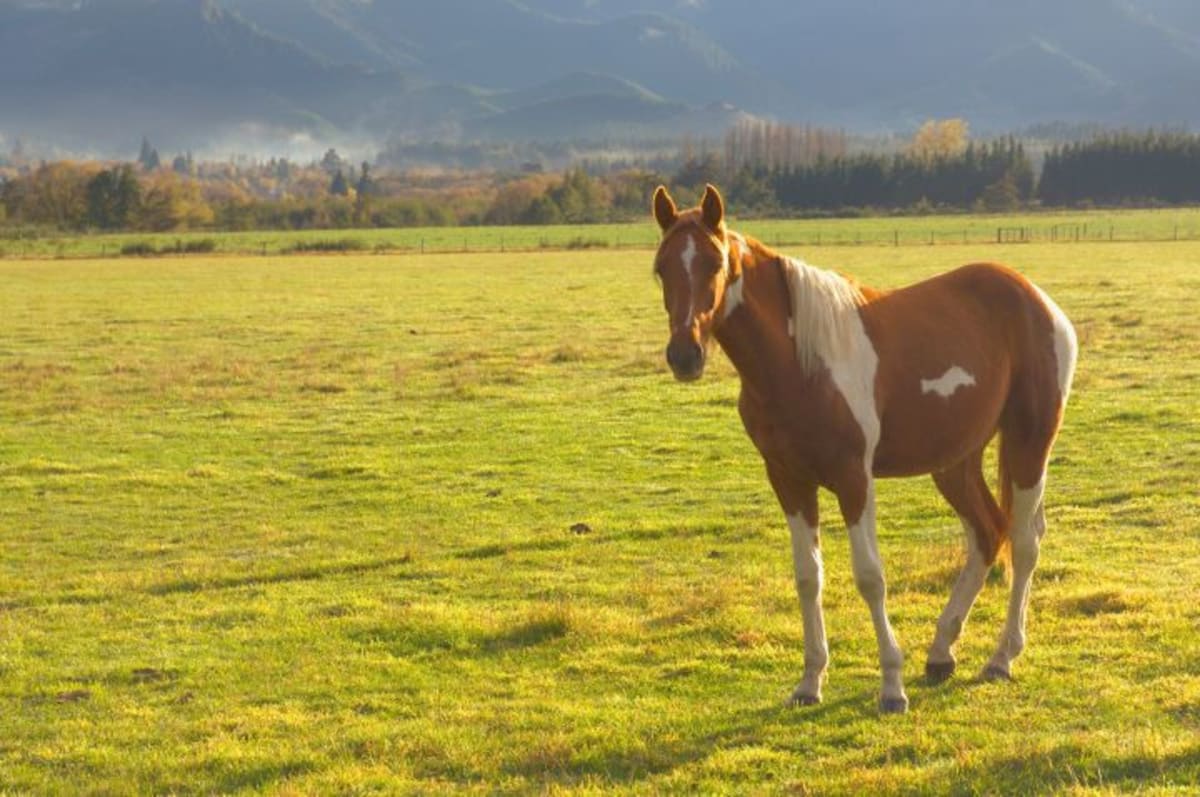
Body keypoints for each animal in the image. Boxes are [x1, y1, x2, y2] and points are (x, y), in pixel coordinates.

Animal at [650, 184, 1077, 713]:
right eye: (661, 267)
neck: (800, 362)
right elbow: (807, 577)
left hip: (1029, 443)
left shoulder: (854, 479)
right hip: (956, 461)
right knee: (986, 532)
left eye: (714, 263)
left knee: (1023, 540)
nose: (684, 355)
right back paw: (941, 652)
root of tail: (1038, 301)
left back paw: (1001, 658)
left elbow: (870, 577)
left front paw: (891, 687)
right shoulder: (788, 480)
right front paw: (809, 681)